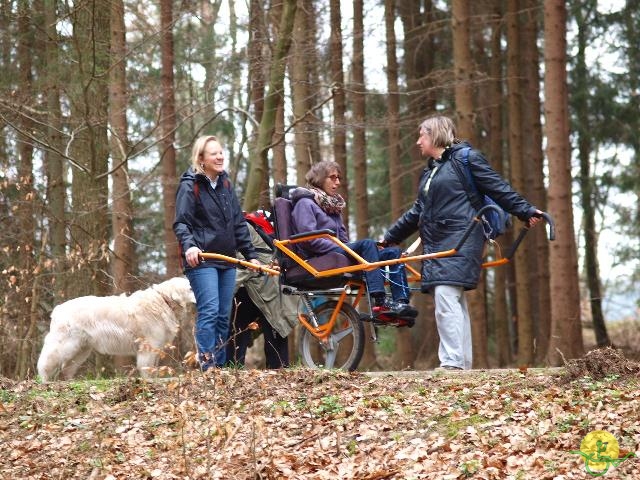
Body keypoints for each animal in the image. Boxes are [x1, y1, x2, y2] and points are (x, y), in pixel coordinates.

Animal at [37, 276, 196, 380]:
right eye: (190, 288)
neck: (163, 300)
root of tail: (58, 309)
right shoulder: (149, 345)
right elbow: (146, 366)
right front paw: (149, 380)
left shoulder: (157, 346)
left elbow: (153, 366)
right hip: (65, 345)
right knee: (46, 362)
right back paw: (45, 380)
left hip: (81, 349)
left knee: (67, 369)